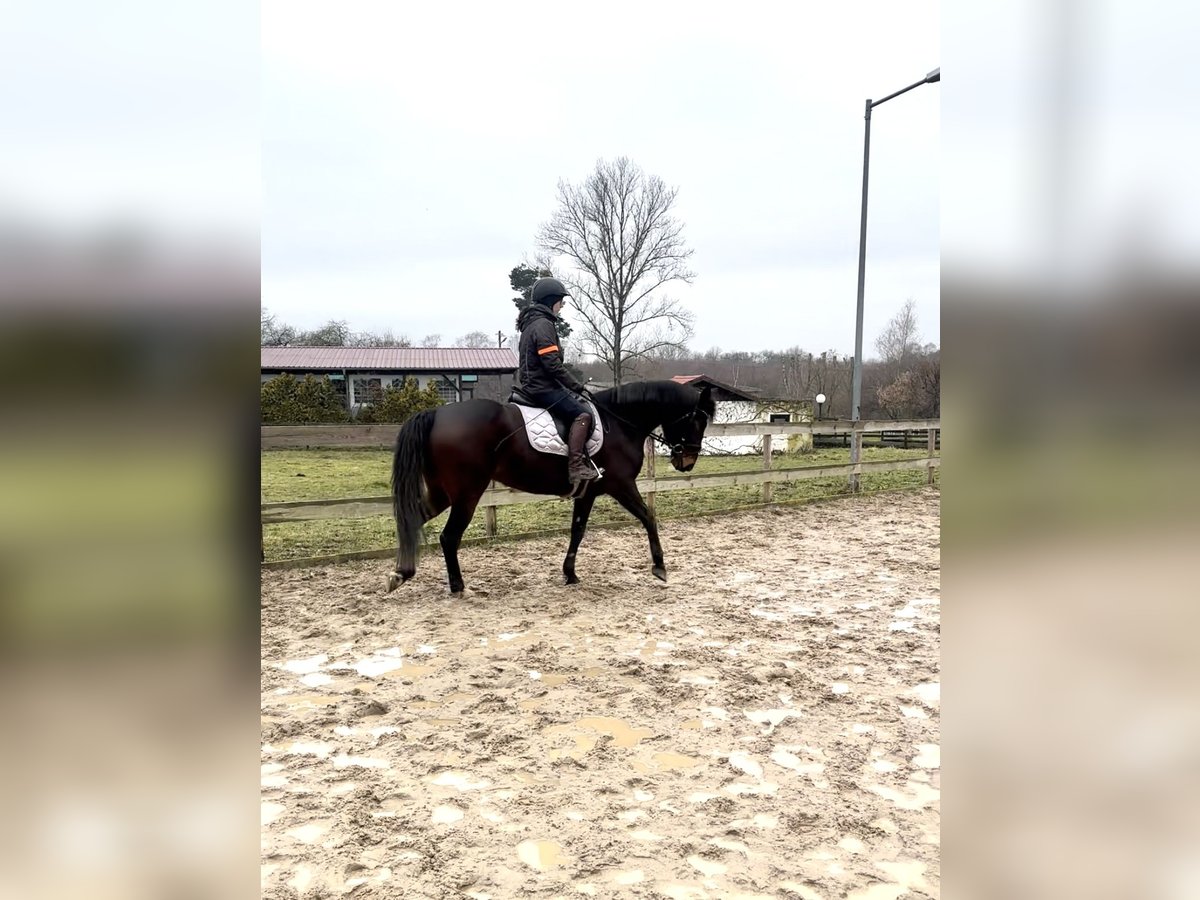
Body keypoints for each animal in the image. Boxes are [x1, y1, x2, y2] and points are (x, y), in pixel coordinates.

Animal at [388, 379, 715, 595]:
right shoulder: (621, 485)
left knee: (414, 520)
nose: (687, 462)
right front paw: (660, 567)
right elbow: (649, 517)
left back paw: (401, 573)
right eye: (698, 421)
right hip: (467, 494)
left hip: (443, 492)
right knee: (449, 536)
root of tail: (437, 414)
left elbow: (577, 530)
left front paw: (570, 574)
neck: (620, 423)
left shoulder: (588, 492)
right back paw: (456, 586)